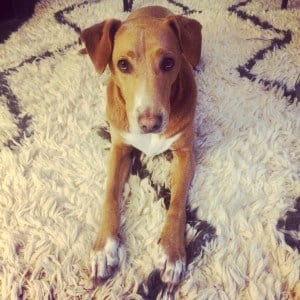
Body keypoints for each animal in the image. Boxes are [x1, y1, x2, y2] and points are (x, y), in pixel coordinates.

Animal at [80, 4, 202, 290]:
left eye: (168, 62)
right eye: (123, 64)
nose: (150, 123)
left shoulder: (185, 153)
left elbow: (177, 202)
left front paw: (172, 251)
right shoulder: (119, 149)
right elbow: (110, 194)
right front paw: (105, 248)